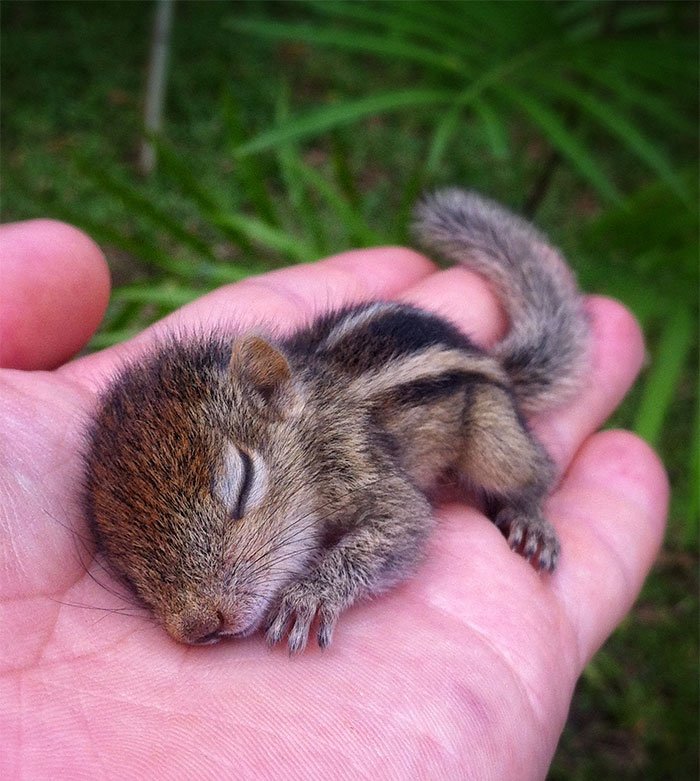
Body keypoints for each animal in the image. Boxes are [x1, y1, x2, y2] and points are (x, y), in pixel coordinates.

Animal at [82, 189, 588, 652]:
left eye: (243, 485)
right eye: (121, 560)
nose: (200, 625)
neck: (311, 427)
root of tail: (491, 359)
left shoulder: (360, 467)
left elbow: (404, 525)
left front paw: (309, 595)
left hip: (493, 435)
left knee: (534, 471)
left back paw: (529, 519)